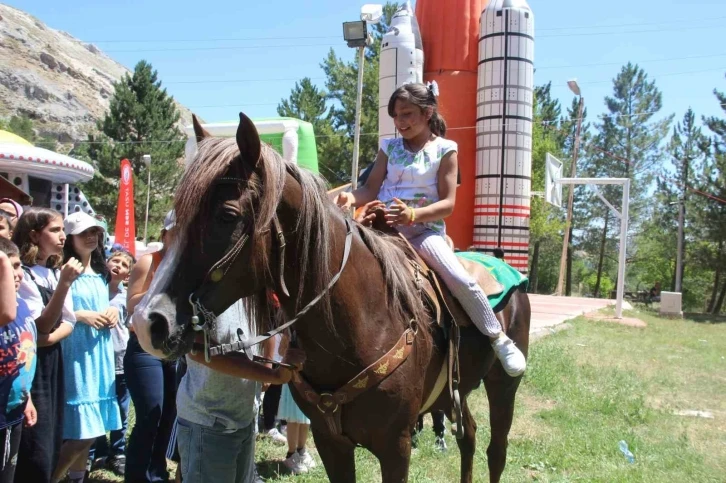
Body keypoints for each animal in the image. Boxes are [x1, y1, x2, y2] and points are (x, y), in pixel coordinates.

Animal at [134, 113, 532, 483]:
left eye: (227, 215)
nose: (147, 322)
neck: (363, 325)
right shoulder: (332, 443)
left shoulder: (396, 446)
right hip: (456, 393)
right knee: (469, 435)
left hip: (503, 387)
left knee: (496, 450)